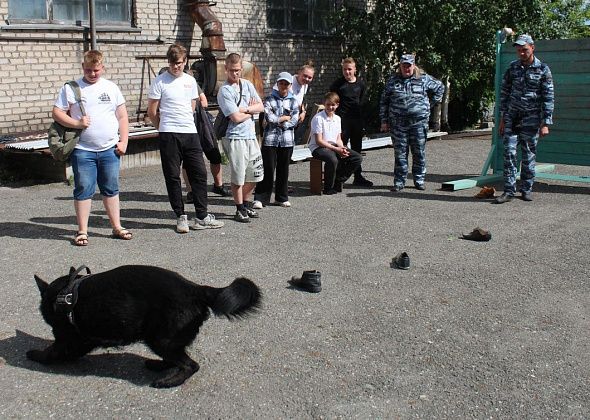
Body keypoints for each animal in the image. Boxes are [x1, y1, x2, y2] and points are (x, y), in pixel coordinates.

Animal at [25, 266, 262, 388]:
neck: (65, 293)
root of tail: (195, 288)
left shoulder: (69, 338)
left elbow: (52, 351)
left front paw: (36, 355)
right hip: (161, 339)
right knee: (177, 359)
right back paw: (159, 366)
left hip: (160, 339)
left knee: (190, 365)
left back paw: (169, 381)